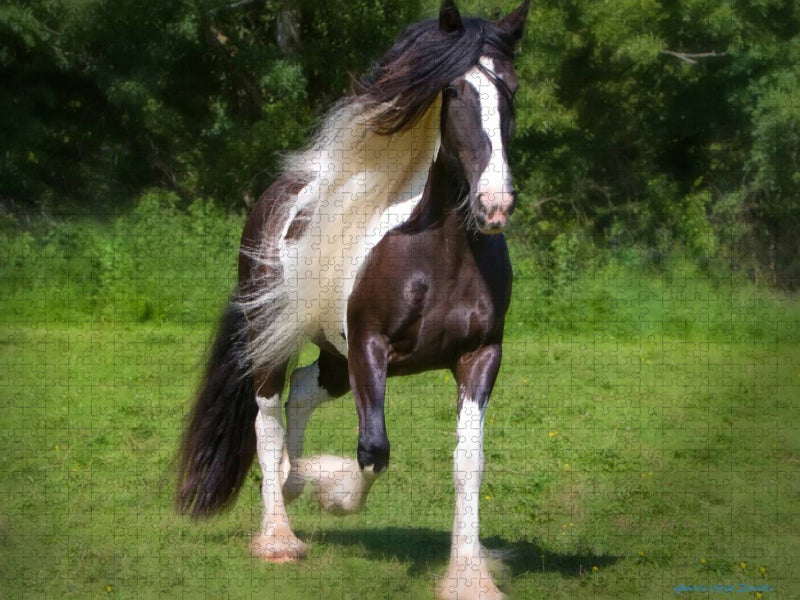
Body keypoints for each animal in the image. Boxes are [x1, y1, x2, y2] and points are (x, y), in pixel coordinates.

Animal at [177, 1, 529, 598]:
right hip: (279, 338)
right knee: (267, 417)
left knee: (301, 393)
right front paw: (336, 495)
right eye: (454, 91)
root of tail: (276, 198)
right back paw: (279, 536)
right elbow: (373, 449)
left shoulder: (480, 355)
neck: (436, 253)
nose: (494, 203)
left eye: (511, 89)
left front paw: (470, 574)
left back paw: (295, 480)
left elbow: (468, 461)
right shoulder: (370, 347)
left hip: (335, 357)